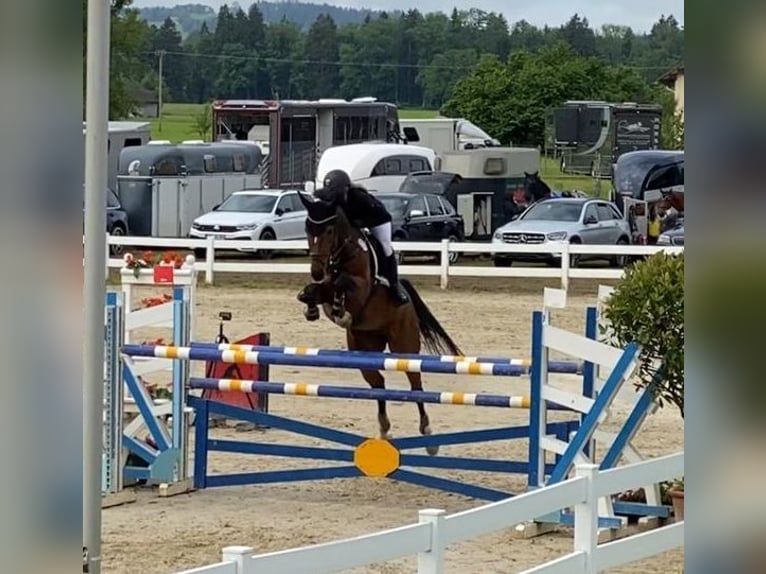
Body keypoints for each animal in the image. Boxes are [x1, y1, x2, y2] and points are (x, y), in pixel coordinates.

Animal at [294, 192, 462, 454]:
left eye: (329, 230)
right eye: (307, 228)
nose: (316, 271)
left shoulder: (361, 289)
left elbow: (342, 283)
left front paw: (341, 308)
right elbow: (315, 291)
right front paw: (311, 306)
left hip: (404, 346)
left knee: (416, 385)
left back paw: (428, 435)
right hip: (364, 351)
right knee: (379, 384)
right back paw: (384, 429)